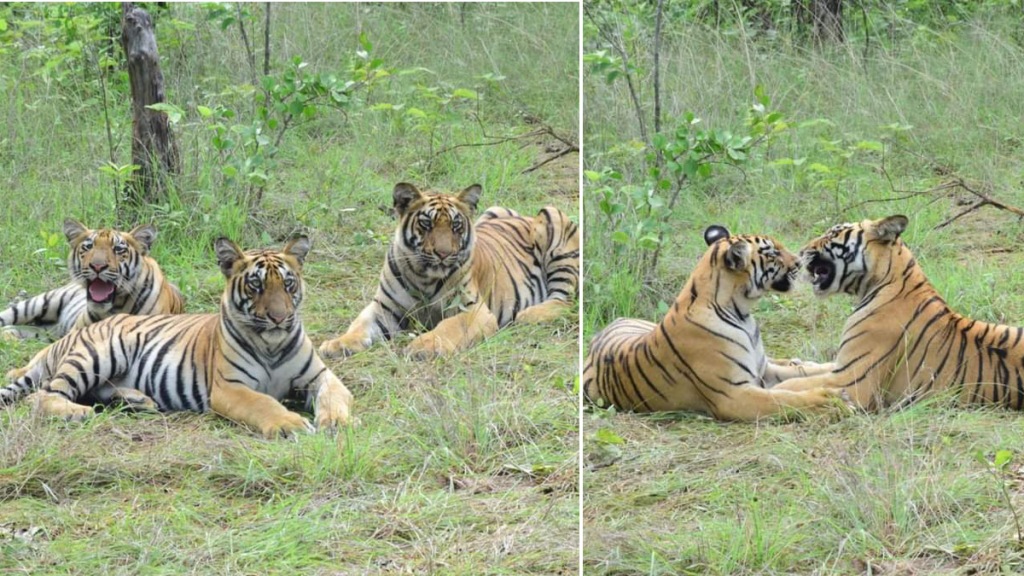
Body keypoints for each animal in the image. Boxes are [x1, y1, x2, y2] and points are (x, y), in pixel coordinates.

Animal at [8, 233, 354, 434]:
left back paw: (138, 401)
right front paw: (290, 423)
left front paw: (339, 422)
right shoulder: (230, 388)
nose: (279, 318)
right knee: (43, 396)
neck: (273, 344)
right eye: (256, 285)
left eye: (288, 284)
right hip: (98, 355)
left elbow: (335, 396)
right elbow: (264, 403)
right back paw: (80, 414)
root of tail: (69, 335)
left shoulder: (321, 375)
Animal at [315, 181, 581, 356]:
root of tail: (524, 216)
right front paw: (337, 344)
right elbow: (359, 325)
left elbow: (449, 326)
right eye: (426, 224)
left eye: (456, 225)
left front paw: (423, 346)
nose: (443, 254)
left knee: (565, 300)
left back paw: (529, 315)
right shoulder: (384, 307)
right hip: (494, 209)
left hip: (552, 217)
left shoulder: (474, 310)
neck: (423, 276)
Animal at [585, 223, 839, 416]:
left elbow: (803, 375)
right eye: (772, 253)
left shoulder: (762, 370)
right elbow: (784, 399)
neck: (742, 313)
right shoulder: (732, 395)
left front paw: (831, 370)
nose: (799, 262)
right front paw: (826, 400)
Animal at [770, 214, 1024, 407]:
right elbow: (805, 370)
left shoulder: (853, 379)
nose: (801, 251)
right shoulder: (842, 364)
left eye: (833, 235)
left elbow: (794, 383)